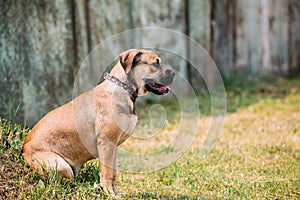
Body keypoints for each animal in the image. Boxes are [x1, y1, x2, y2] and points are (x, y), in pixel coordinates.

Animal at [22, 49, 176, 196]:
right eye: (156, 63)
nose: (174, 73)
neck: (123, 88)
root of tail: (23, 150)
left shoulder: (113, 146)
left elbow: (112, 172)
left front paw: (114, 192)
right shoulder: (107, 144)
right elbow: (107, 172)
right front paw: (109, 193)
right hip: (60, 165)